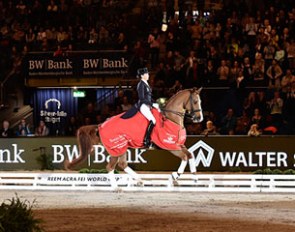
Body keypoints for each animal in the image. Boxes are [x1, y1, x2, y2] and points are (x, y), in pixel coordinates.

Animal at [65, 88, 204, 189]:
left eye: (200, 101)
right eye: (195, 102)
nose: (199, 118)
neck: (170, 118)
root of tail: (100, 125)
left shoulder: (179, 145)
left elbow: (190, 155)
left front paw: (195, 178)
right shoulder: (170, 146)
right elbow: (185, 157)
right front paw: (174, 176)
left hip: (122, 148)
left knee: (122, 164)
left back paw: (140, 180)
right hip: (116, 148)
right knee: (110, 167)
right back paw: (117, 188)